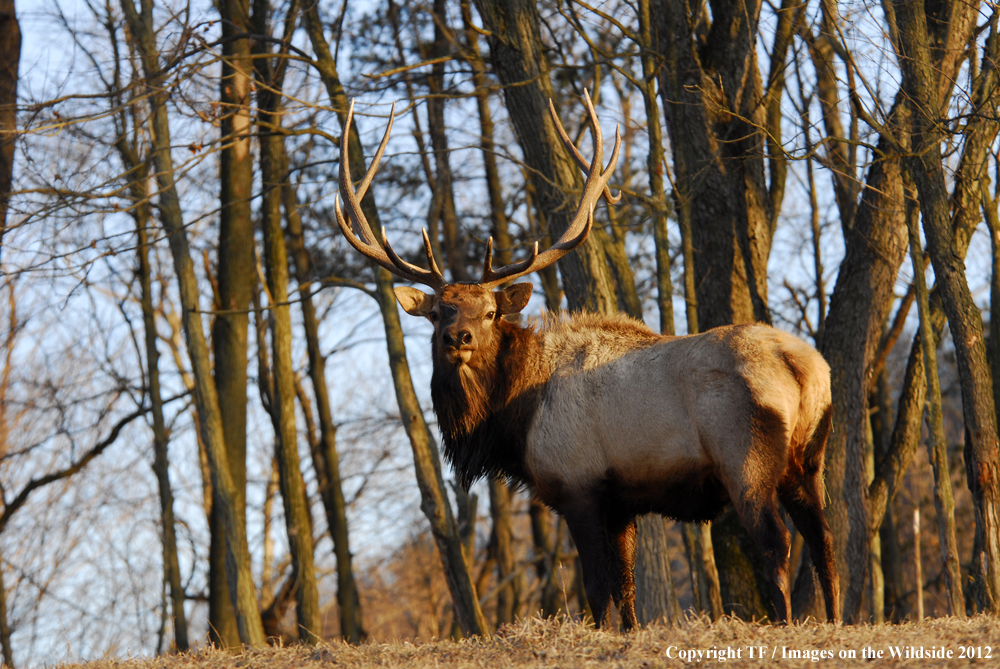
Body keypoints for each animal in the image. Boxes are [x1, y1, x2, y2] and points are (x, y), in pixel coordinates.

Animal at [334, 94, 836, 628]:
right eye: (437, 312)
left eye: (490, 311)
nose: (458, 337)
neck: (512, 419)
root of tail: (804, 365)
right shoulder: (621, 502)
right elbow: (628, 588)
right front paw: (630, 633)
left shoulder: (578, 486)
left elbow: (598, 589)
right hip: (808, 459)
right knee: (824, 538)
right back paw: (837, 616)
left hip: (746, 456)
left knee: (777, 543)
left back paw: (787, 621)